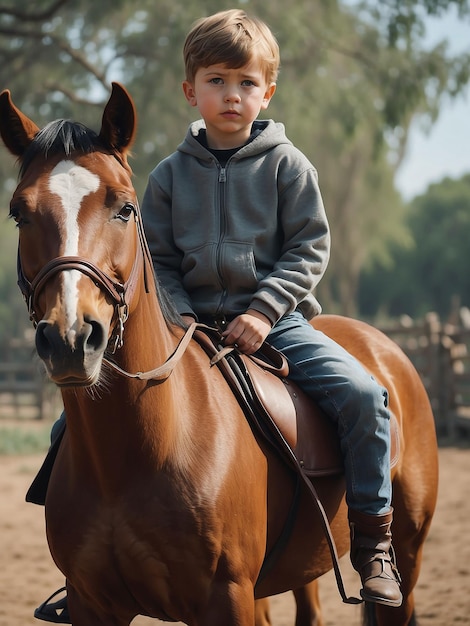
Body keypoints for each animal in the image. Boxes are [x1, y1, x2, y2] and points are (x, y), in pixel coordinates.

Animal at [0, 84, 438, 624]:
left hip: (410, 551)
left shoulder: (225, 599)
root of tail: (385, 347)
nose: (71, 338)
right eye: (19, 213)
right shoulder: (91, 604)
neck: (135, 453)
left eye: (124, 208)